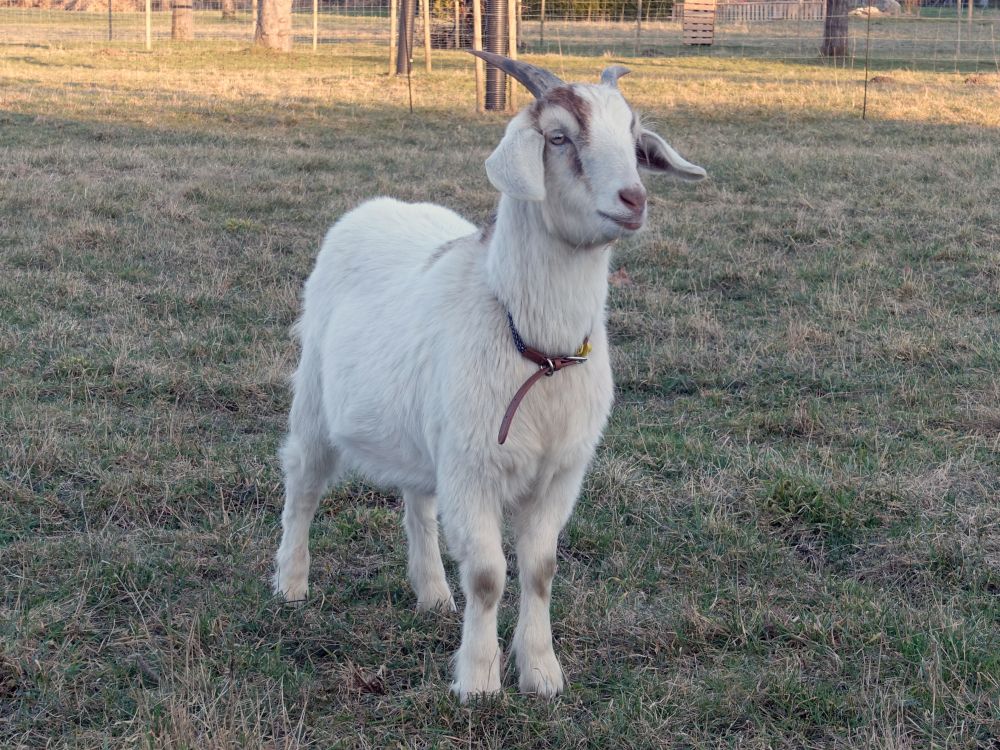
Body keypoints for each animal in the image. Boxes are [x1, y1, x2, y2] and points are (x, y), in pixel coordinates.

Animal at [273, 51, 706, 702]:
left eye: (635, 141)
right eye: (558, 137)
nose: (634, 199)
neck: (539, 353)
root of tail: (376, 206)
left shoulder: (559, 472)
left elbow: (539, 569)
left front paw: (542, 672)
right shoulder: (473, 469)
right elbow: (485, 575)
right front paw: (478, 680)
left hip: (428, 435)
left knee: (418, 503)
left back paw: (431, 593)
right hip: (317, 403)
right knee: (302, 483)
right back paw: (291, 584)